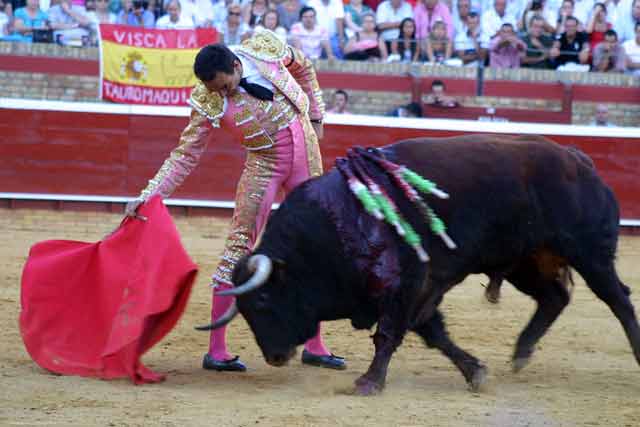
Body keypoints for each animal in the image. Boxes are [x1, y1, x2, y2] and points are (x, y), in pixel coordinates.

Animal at [196, 135, 640, 396]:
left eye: (264, 301)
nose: (274, 356)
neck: (338, 222)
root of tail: (580, 160)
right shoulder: (421, 288)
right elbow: (433, 333)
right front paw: (475, 372)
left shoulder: (407, 283)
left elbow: (390, 333)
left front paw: (369, 382)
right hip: (527, 260)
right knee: (554, 297)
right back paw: (521, 353)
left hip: (589, 253)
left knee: (618, 299)